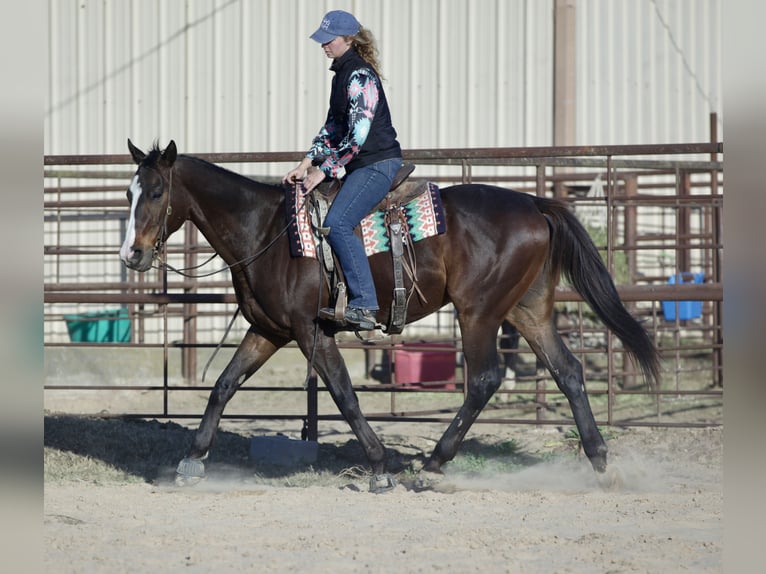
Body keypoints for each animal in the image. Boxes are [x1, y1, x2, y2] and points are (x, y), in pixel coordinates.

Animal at [120, 139, 660, 492]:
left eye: (155, 192)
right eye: (127, 193)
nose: (131, 254)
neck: (268, 232)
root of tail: (533, 202)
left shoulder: (310, 331)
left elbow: (344, 395)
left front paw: (381, 467)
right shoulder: (268, 330)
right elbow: (223, 386)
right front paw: (191, 462)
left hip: (479, 311)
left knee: (485, 379)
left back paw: (435, 465)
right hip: (529, 311)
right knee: (567, 372)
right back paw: (600, 462)